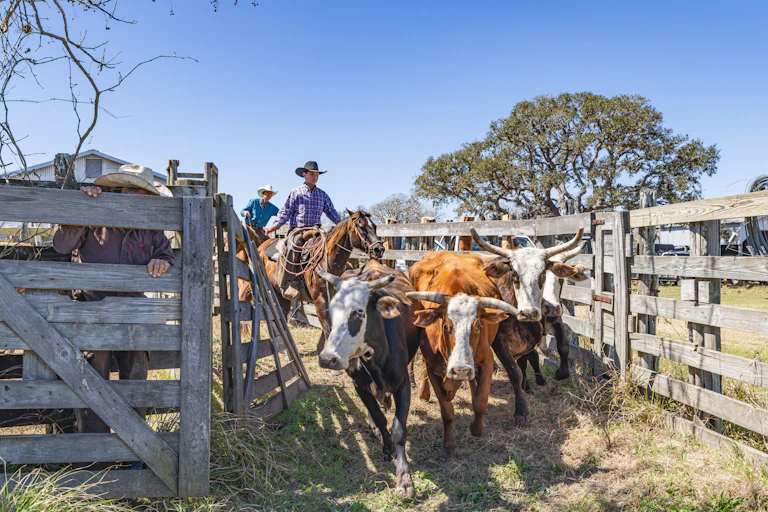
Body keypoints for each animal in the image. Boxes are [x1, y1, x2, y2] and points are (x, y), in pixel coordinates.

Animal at [315, 260, 420, 499]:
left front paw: (404, 479)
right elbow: (380, 418)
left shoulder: (402, 385)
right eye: (330, 312)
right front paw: (387, 447)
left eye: (359, 313)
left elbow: (399, 429)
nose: (327, 359)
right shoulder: (359, 385)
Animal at [406, 251, 517, 460]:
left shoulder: (487, 361)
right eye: (445, 326)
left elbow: (480, 401)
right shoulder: (433, 368)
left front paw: (477, 428)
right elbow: (447, 411)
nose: (460, 371)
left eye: (478, 326)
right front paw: (448, 447)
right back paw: (424, 392)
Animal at [472, 228, 585, 425]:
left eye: (543, 274)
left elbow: (562, 347)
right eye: (515, 275)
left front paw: (558, 374)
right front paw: (521, 410)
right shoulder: (499, 341)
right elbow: (514, 371)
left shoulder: (555, 320)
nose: (530, 312)